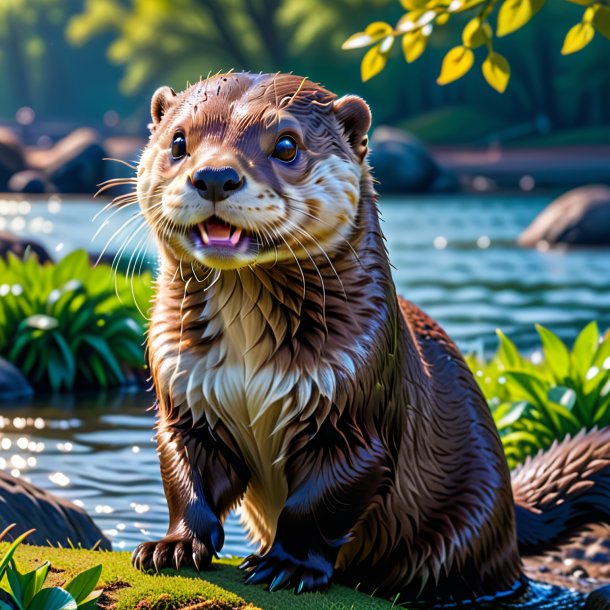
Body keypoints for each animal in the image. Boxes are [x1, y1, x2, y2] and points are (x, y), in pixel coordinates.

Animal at [132, 71, 608, 604]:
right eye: (178, 142)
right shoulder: (183, 392)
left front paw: (288, 566)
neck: (247, 364)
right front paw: (172, 547)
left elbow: (318, 503)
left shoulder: (356, 400)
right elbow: (185, 473)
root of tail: (509, 507)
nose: (215, 176)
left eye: (286, 145)